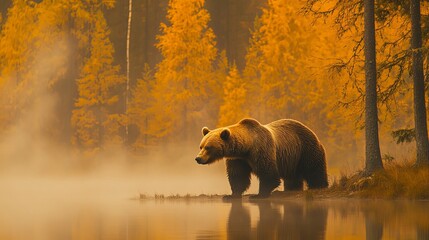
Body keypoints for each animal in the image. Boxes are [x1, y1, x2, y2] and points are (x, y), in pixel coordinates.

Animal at [194, 118, 328, 199]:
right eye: (201, 146)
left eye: (208, 147)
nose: (198, 158)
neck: (246, 147)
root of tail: (310, 130)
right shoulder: (238, 159)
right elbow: (238, 176)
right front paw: (231, 195)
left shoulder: (261, 150)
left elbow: (268, 173)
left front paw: (259, 194)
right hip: (291, 158)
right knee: (293, 176)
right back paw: (291, 189)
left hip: (305, 149)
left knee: (314, 169)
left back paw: (319, 186)